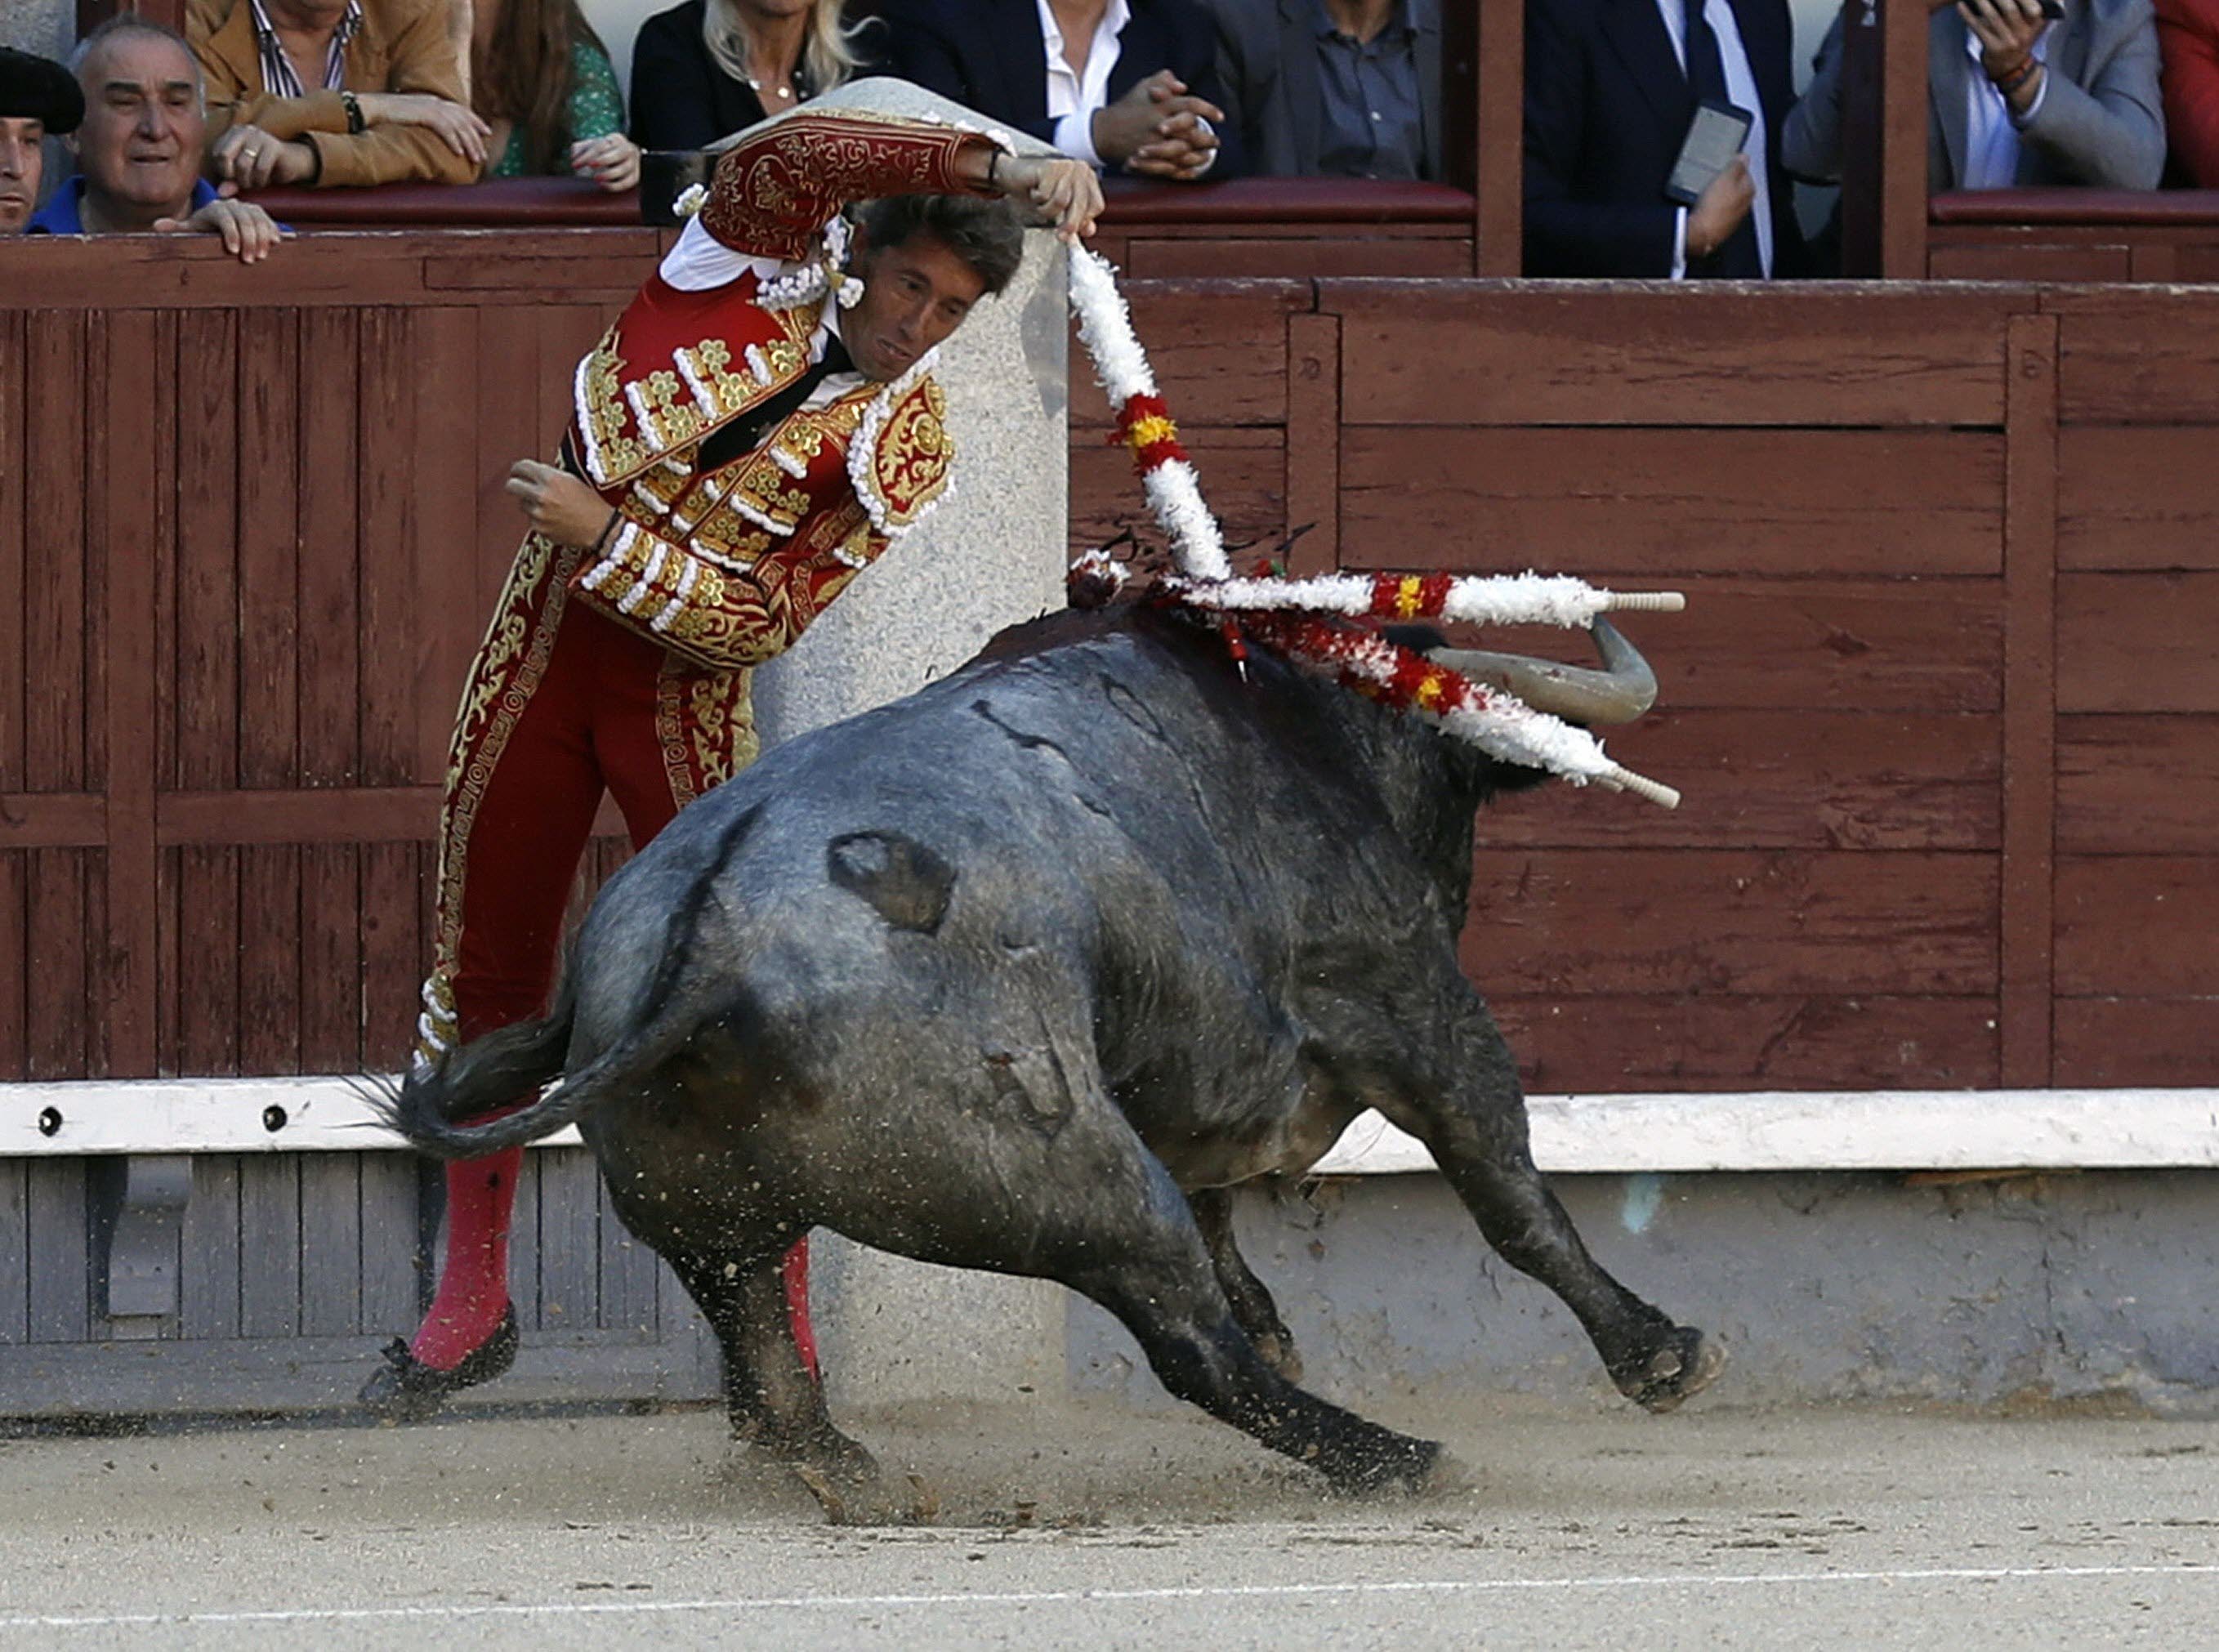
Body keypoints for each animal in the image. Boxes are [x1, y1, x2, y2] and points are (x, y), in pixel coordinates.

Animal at [391, 599, 1721, 1501]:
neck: (1313, 728)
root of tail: (709, 929)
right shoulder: (1414, 1007)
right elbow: (1510, 1198)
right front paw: (1663, 1353)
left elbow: (1237, 1210)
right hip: (1070, 1164)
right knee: (1187, 1340)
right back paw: (1393, 1456)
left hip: (711, 1214)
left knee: (763, 1356)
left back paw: (852, 1476)